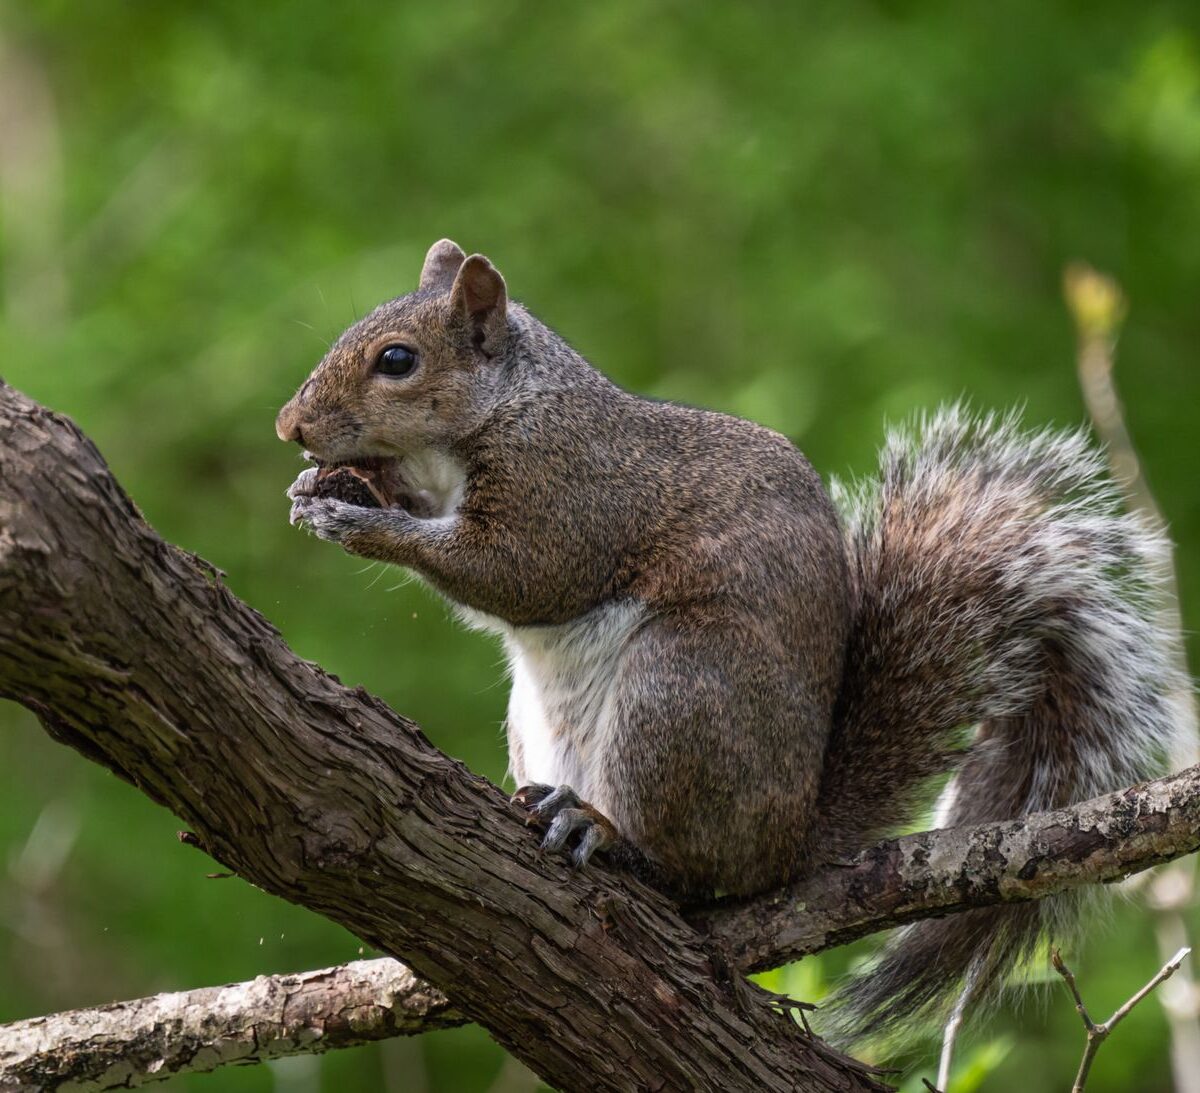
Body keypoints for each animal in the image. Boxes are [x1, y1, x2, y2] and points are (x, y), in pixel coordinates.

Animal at [276, 238, 1180, 1038]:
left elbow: (519, 574)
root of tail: (792, 843)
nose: (290, 426)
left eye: (397, 360)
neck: (506, 407)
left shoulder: (569, 492)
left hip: (679, 690)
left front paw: (363, 521)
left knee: (692, 873)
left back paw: (607, 835)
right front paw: (331, 488)